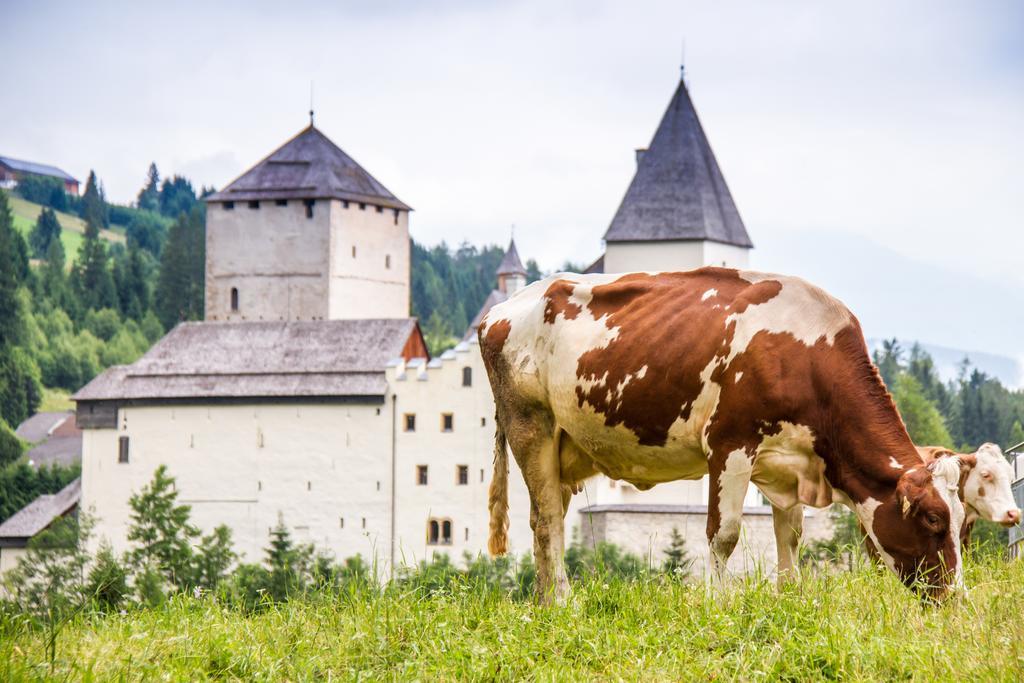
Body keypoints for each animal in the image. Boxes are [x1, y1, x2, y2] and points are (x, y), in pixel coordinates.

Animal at [483, 268, 962, 602]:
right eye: (932, 519)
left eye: (960, 521)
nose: (956, 598)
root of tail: (502, 309)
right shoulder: (730, 444)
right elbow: (724, 533)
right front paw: (718, 604)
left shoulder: (788, 462)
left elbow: (790, 536)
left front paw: (791, 599)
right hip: (530, 426)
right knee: (546, 520)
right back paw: (563, 603)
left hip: (564, 447)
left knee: (547, 521)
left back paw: (545, 602)